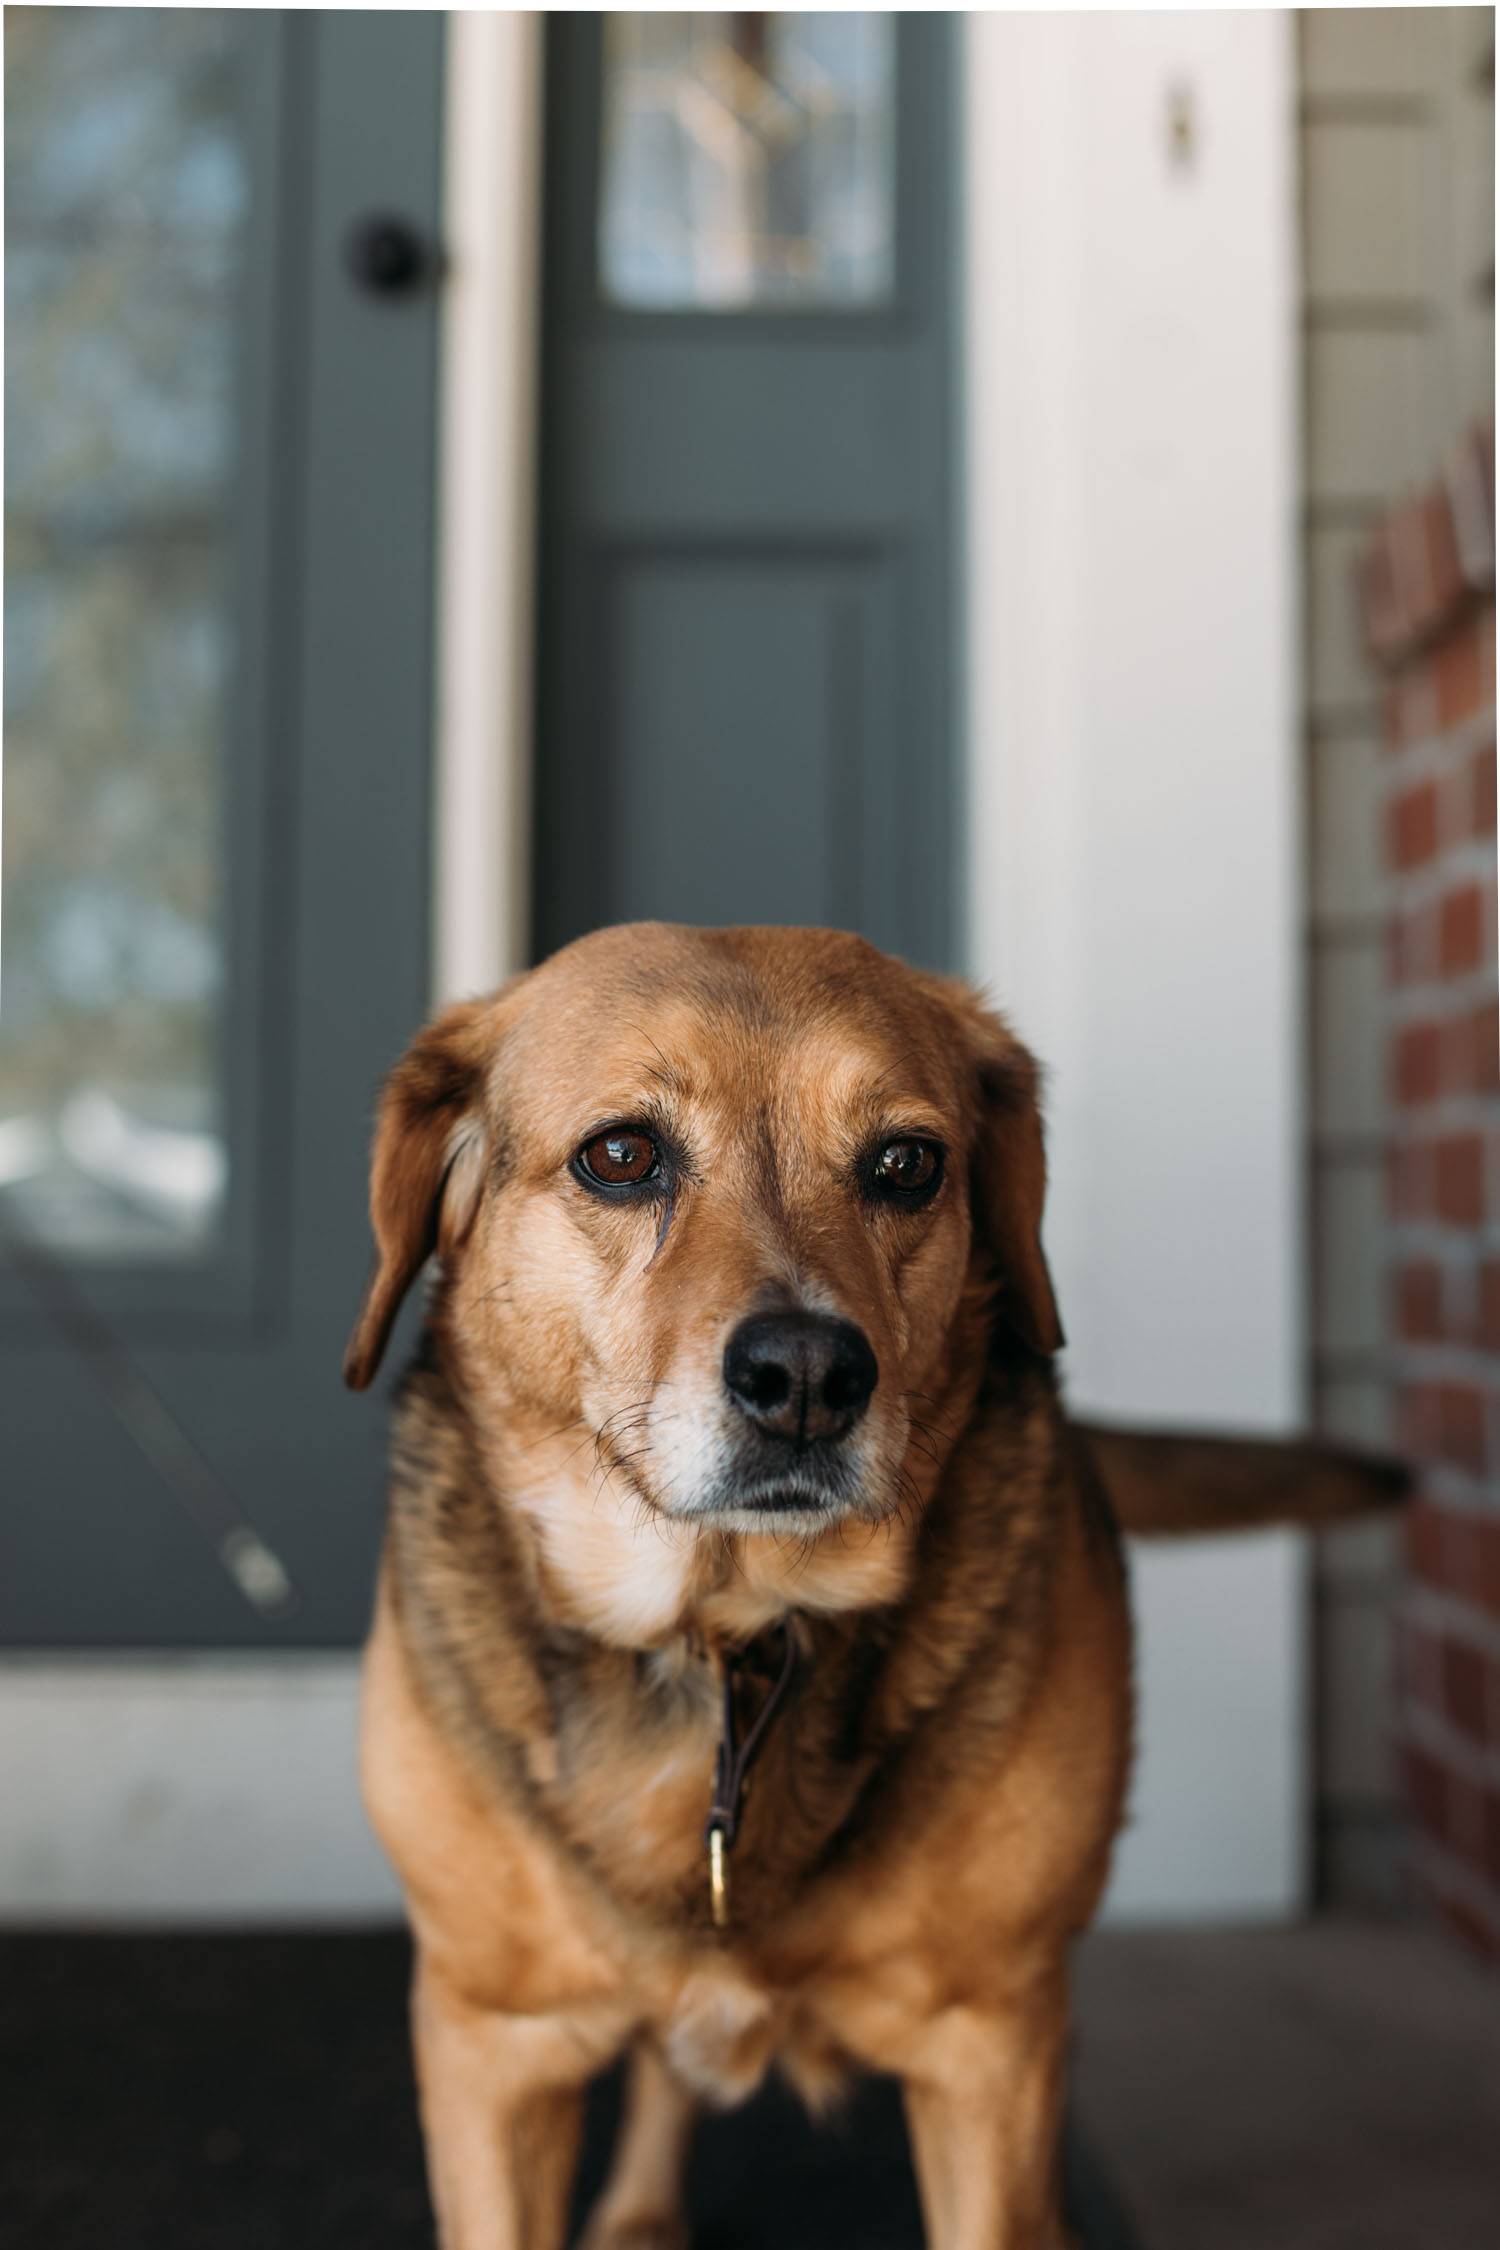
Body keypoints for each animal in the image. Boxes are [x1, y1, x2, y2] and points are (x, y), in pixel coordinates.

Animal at [346, 922, 1403, 2250]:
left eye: (906, 1165)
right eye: (622, 1156)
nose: (806, 1375)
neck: (734, 1632)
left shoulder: (992, 2049)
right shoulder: (495, 2046)